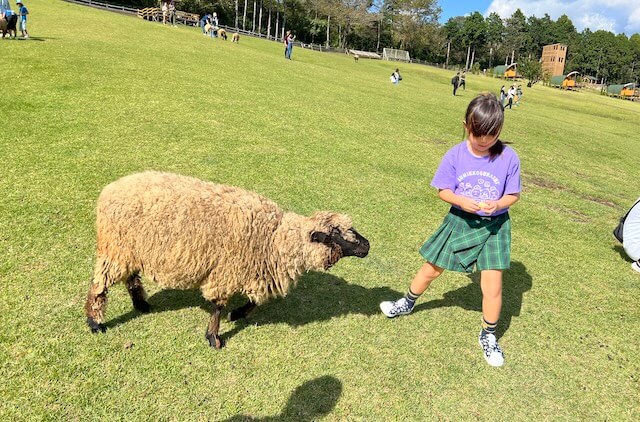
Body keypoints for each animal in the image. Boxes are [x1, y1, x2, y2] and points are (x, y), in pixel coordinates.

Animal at [85, 171, 370, 350]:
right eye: (337, 234)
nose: (367, 245)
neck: (274, 238)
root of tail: (110, 188)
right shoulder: (227, 271)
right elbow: (217, 307)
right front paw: (214, 338)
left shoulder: (256, 271)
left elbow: (255, 301)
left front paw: (238, 314)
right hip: (115, 248)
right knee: (99, 285)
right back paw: (95, 323)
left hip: (129, 250)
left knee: (131, 276)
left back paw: (141, 304)